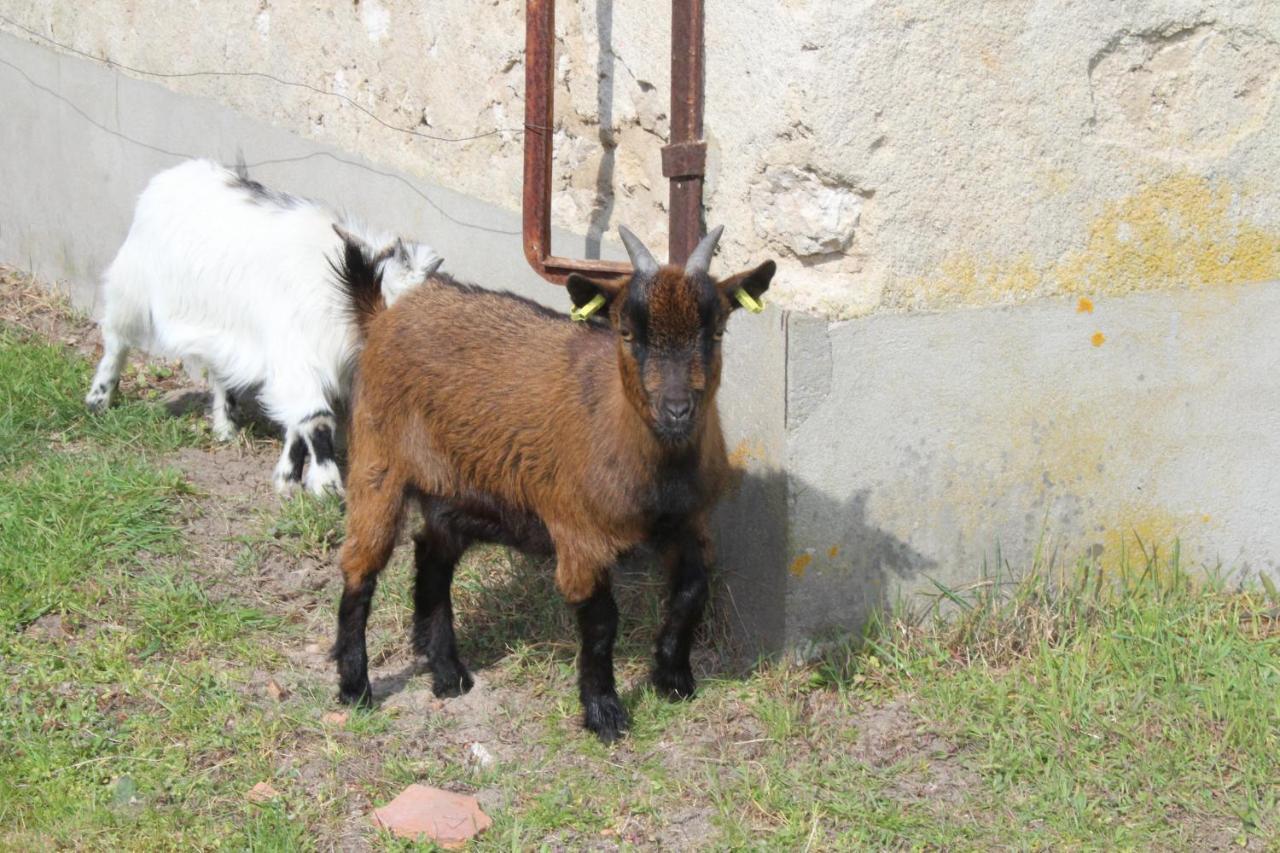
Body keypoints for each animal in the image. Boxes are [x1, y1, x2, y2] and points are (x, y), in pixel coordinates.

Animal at [86, 156, 445, 494]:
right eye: (379, 301)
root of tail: (170, 176)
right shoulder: (297, 356)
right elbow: (314, 419)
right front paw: (326, 485)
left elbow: (297, 422)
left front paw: (287, 478)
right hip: (131, 286)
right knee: (116, 340)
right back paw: (98, 400)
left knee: (221, 370)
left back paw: (226, 427)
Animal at [332, 224, 768, 737]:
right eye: (626, 332)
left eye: (716, 331)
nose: (677, 410)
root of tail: (382, 316)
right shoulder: (579, 533)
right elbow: (601, 624)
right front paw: (604, 713)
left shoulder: (689, 522)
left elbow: (693, 591)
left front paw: (674, 678)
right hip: (377, 461)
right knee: (361, 566)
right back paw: (355, 687)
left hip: (456, 490)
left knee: (432, 554)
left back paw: (447, 673)